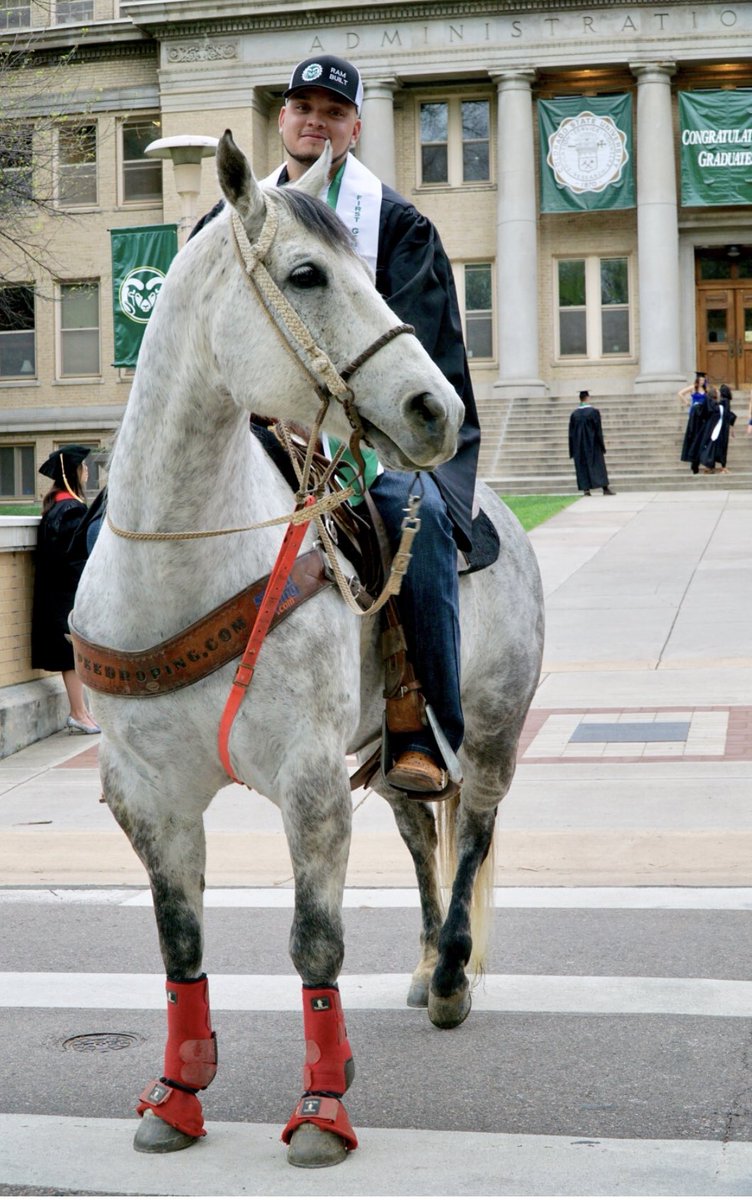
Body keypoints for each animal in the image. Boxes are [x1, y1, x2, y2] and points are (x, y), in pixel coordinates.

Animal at [72, 130, 544, 1169]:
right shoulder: (146, 795)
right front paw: (176, 1095)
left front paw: (324, 1109)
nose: (439, 409)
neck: (183, 556)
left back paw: (450, 977)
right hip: (397, 747)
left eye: (370, 269)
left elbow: (313, 944)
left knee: (473, 834)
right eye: (305, 274)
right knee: (419, 831)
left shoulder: (310, 782)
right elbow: (180, 946)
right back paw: (422, 962)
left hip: (491, 730)